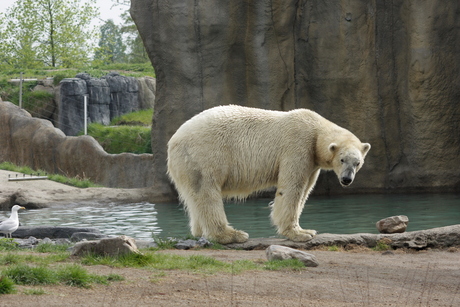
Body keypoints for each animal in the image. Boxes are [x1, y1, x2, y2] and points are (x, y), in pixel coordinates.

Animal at [167, 104, 372, 244]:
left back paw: (200, 232)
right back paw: (231, 234)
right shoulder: (298, 145)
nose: (346, 179)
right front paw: (300, 234)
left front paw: (306, 230)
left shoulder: (312, 162)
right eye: (342, 160)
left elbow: (305, 189)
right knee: (207, 192)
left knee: (195, 196)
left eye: (358, 163)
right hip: (204, 154)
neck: (316, 129)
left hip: (188, 164)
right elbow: (292, 188)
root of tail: (174, 140)